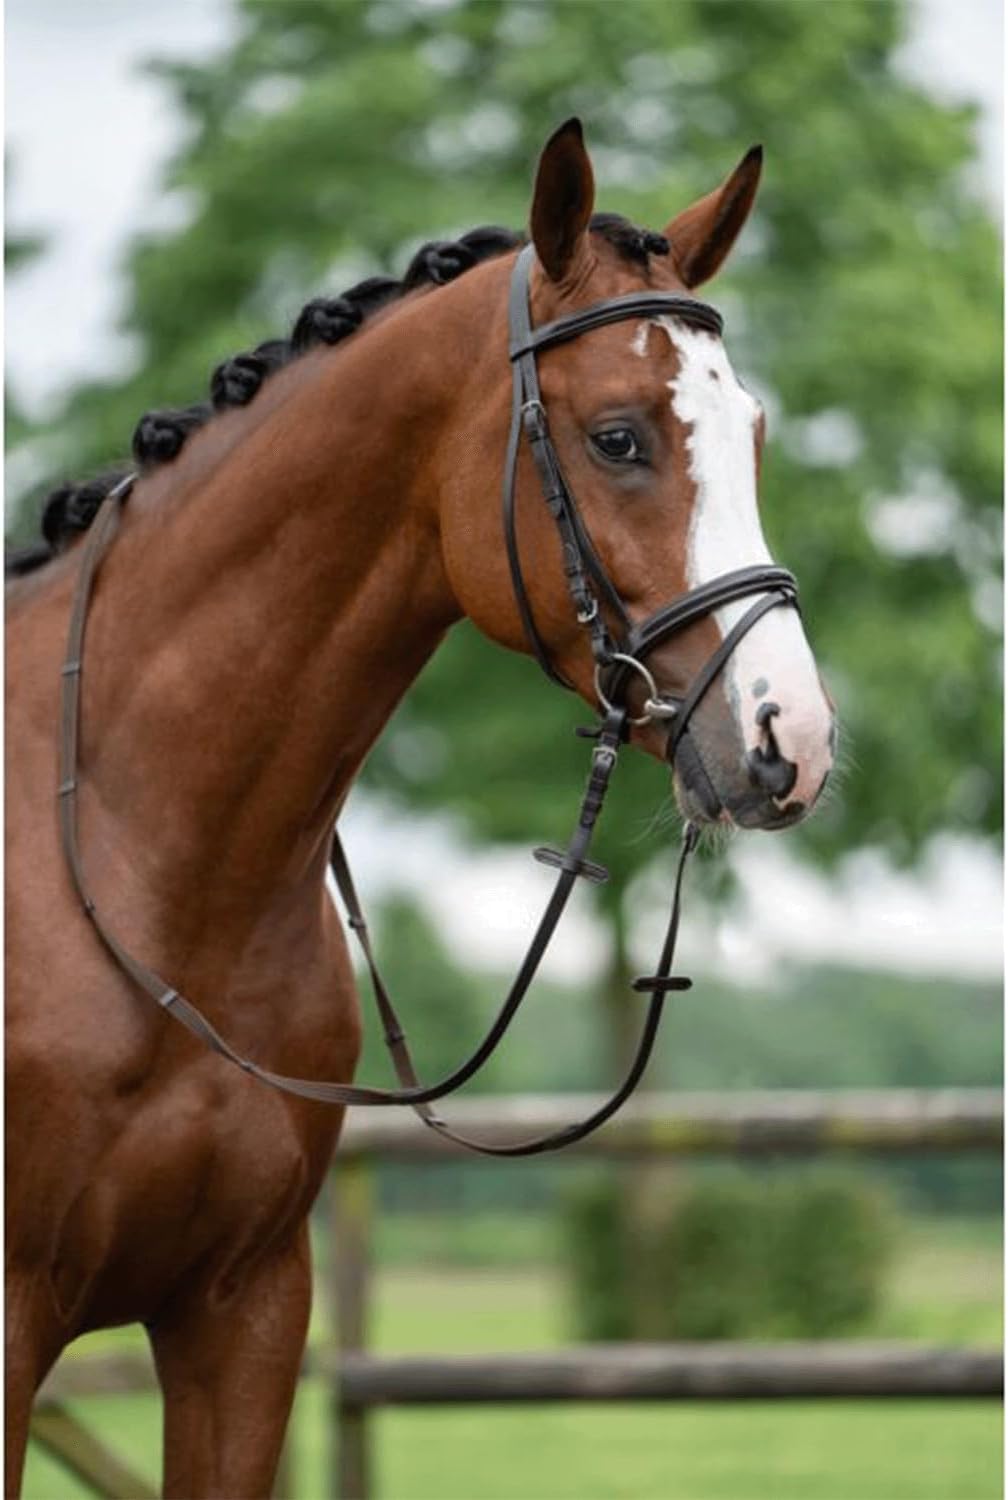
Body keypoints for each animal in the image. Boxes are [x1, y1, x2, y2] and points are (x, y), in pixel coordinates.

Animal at [5, 118, 835, 1497]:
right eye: (618, 437)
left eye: (753, 431)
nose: (792, 742)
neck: (128, 860)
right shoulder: (17, 1320)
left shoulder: (244, 1312)